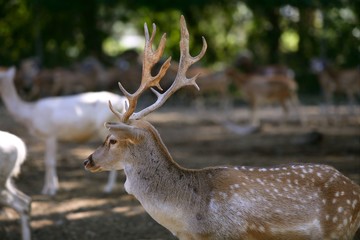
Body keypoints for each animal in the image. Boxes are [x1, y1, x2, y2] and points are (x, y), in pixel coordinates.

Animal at [0, 66, 129, 194]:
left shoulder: (50, 134)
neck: (30, 115)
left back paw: (108, 188)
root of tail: (122, 99)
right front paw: (50, 188)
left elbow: (49, 162)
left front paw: (50, 190)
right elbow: (49, 161)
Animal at [83, 15, 360, 239]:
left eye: (112, 139)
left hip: (338, 226)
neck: (191, 223)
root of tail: (354, 189)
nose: (88, 160)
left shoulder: (233, 234)